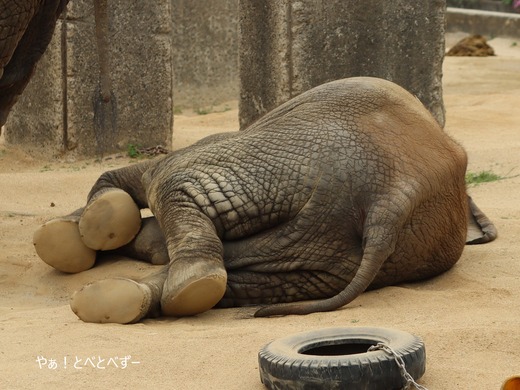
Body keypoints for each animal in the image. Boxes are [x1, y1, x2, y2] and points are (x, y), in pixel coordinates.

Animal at [32, 77, 496, 324]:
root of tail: (395, 194)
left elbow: (146, 178)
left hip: (287, 157)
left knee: (168, 177)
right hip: (346, 240)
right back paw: (131, 299)